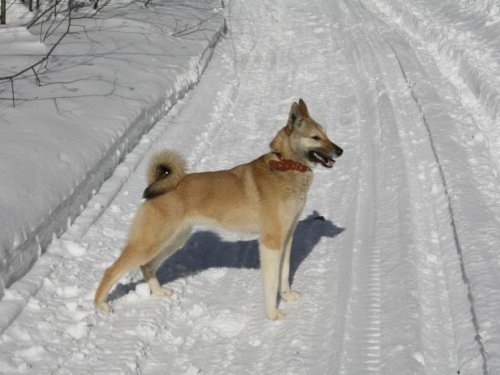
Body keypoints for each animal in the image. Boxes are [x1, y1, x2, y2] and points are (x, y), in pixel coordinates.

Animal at [94, 100, 342, 320]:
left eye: (326, 133)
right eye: (315, 137)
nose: (340, 150)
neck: (286, 166)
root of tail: (157, 183)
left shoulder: (287, 237)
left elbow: (284, 274)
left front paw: (287, 296)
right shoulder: (270, 242)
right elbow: (271, 284)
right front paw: (272, 314)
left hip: (173, 240)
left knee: (146, 267)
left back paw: (158, 292)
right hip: (149, 243)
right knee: (111, 270)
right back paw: (100, 306)